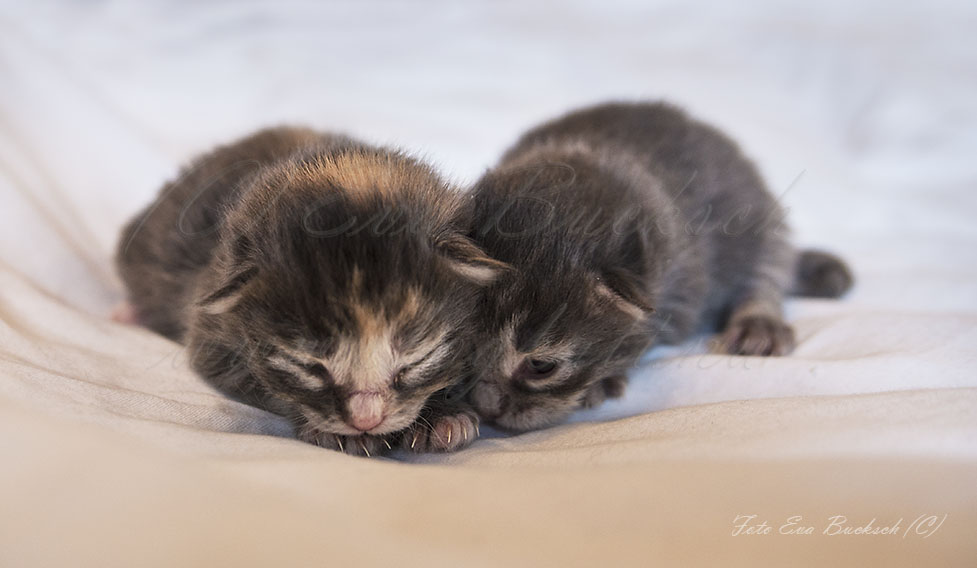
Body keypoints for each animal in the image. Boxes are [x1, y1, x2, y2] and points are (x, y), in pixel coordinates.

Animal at [115, 126, 500, 454]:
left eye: (415, 361)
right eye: (311, 368)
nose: (366, 420)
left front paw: (441, 415)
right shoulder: (210, 329)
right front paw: (336, 432)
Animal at [468, 102, 852, 430]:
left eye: (541, 366)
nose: (486, 406)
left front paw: (603, 381)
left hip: (759, 217)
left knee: (768, 271)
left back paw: (759, 325)